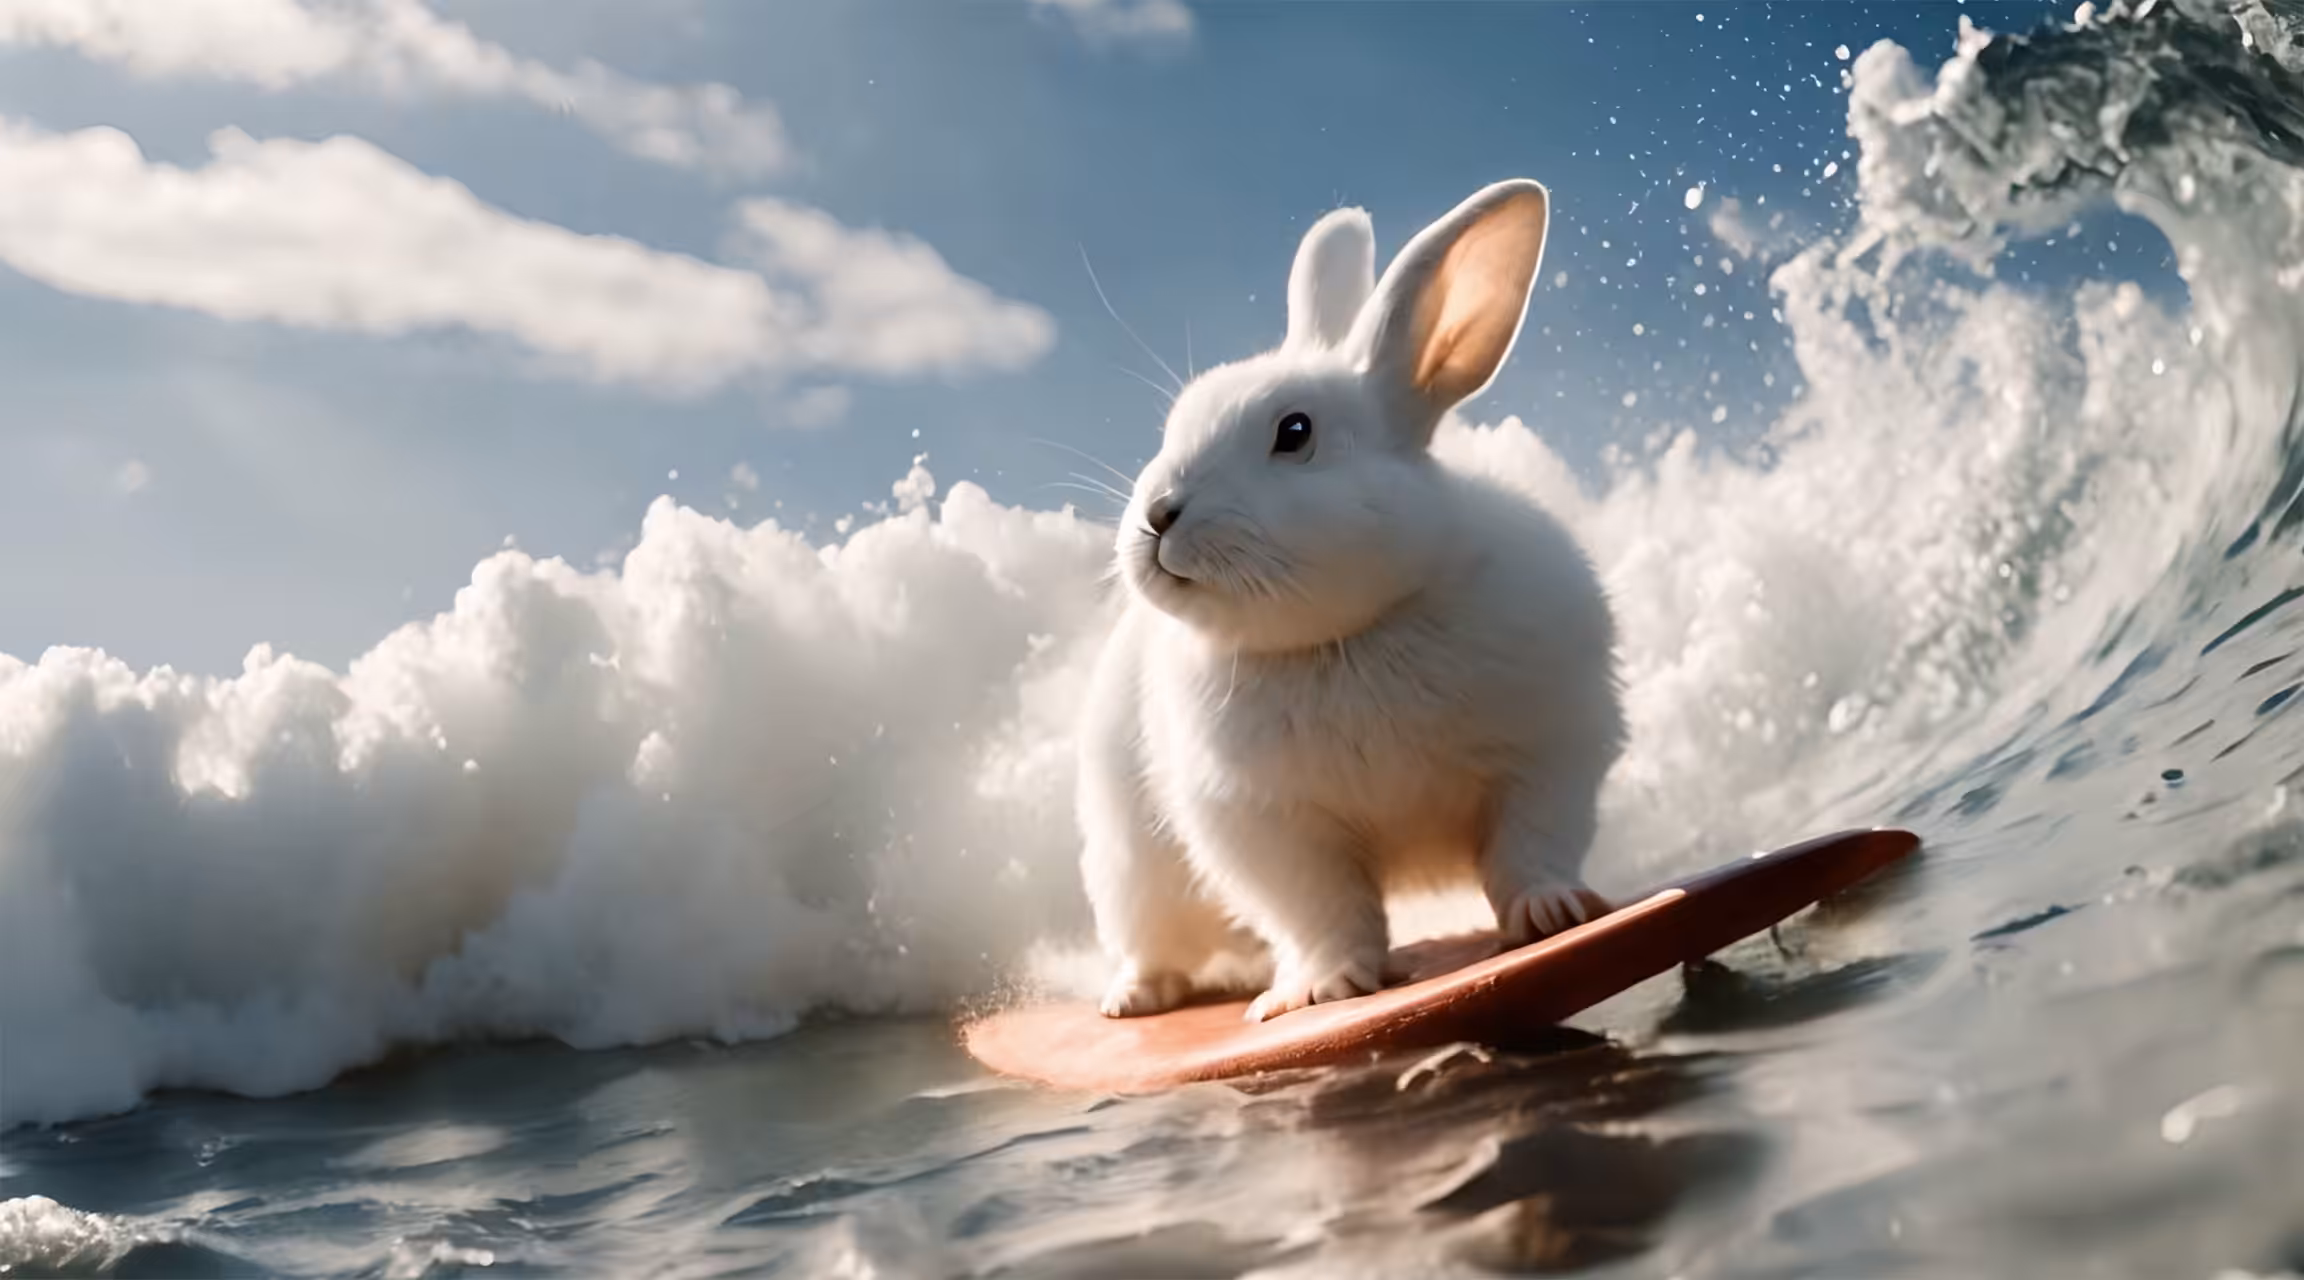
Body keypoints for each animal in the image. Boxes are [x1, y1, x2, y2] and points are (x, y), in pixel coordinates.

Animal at [1077, 178, 1625, 1023]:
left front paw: (1552, 913)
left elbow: (1530, 849)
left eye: (1295, 432)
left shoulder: (1546, 757)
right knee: (1152, 943)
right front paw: (1324, 989)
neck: (1352, 633)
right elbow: (1324, 913)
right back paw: (1133, 999)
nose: (1158, 516)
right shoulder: (1273, 830)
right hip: (1126, 873)